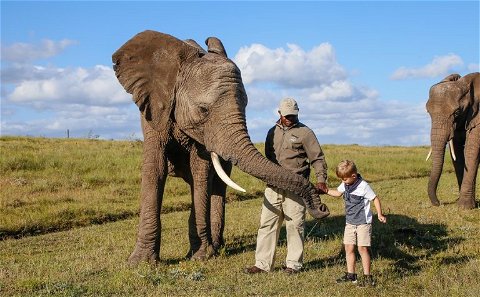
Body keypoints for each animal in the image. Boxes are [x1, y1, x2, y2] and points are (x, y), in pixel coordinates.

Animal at [113, 31, 330, 264]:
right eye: (203, 110)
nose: (322, 208)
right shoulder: (154, 109)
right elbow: (155, 169)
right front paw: (140, 262)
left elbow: (201, 172)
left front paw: (200, 256)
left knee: (217, 184)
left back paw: (215, 246)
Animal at [426, 71, 478, 208]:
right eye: (428, 113)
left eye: (456, 112)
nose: (439, 203)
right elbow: (457, 154)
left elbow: (471, 150)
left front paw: (464, 207)